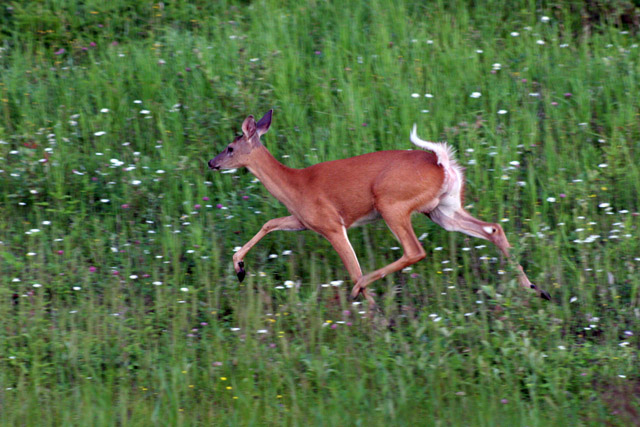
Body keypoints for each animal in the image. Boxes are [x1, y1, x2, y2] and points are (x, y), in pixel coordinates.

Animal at [208, 110, 551, 306]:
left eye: (230, 147)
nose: (212, 162)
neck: (295, 184)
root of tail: (443, 164)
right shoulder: (303, 220)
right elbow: (269, 223)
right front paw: (239, 268)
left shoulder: (331, 223)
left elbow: (352, 266)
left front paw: (372, 315)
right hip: (443, 209)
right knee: (494, 228)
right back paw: (537, 290)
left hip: (392, 203)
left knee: (414, 251)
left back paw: (359, 291)